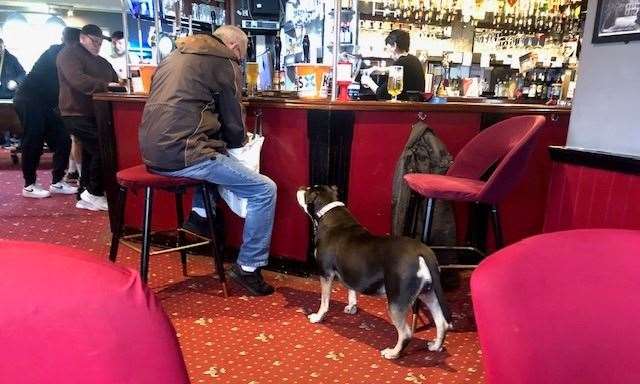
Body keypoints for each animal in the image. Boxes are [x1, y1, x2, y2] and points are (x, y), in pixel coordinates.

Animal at [298, 186, 452, 360]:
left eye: (307, 191)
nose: (299, 188)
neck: (330, 211)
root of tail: (422, 252)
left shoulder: (325, 273)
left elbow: (324, 301)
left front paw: (318, 317)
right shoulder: (351, 271)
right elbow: (352, 290)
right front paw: (352, 307)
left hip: (397, 301)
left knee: (406, 333)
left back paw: (392, 353)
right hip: (428, 293)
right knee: (442, 323)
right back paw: (435, 346)